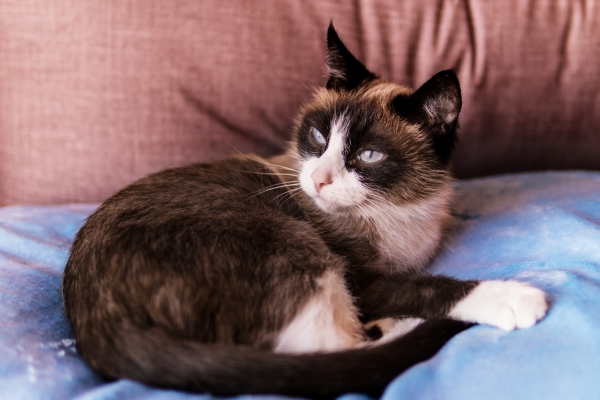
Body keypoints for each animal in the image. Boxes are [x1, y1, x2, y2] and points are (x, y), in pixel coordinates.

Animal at [62, 24, 548, 396]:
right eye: (317, 136)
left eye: (369, 156)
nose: (317, 180)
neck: (394, 212)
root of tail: (97, 320)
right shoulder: (361, 280)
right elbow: (423, 288)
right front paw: (514, 298)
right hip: (290, 243)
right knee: (329, 352)